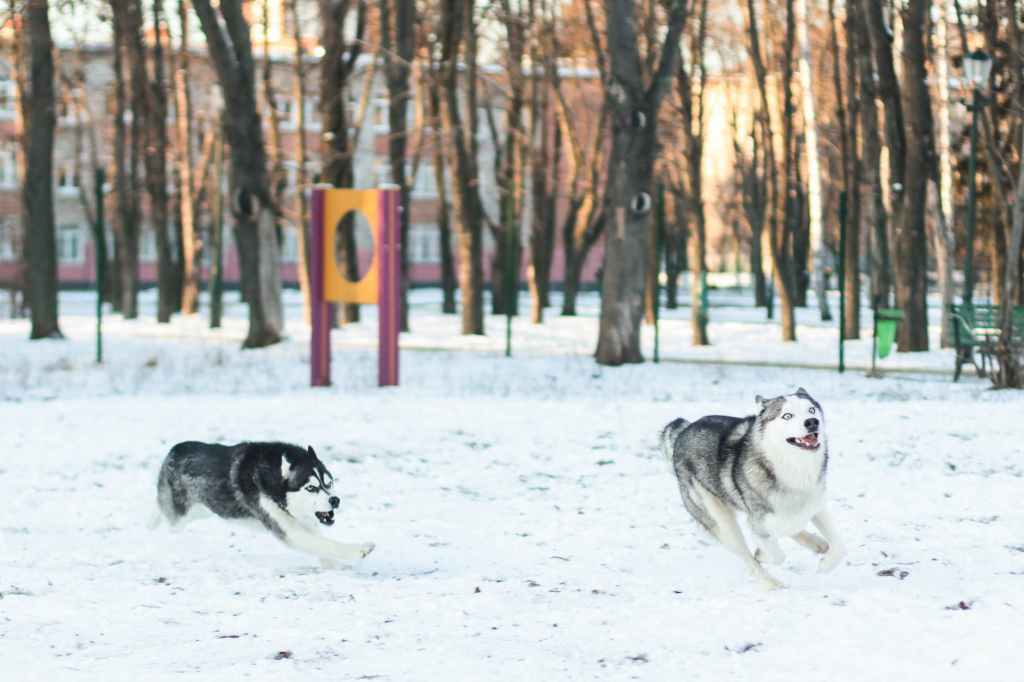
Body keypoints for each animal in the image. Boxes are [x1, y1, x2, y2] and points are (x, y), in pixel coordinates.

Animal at [155, 441, 375, 565]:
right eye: (311, 488)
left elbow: (320, 542)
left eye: (328, 482)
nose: (335, 500)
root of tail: (173, 450)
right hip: (180, 514)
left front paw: (330, 566)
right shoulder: (286, 528)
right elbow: (322, 543)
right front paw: (360, 550)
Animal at [660, 388, 846, 589]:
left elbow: (840, 545)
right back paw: (772, 583)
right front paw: (762, 554)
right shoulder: (758, 520)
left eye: (811, 410)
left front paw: (826, 563)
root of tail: (684, 430)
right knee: (748, 558)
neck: (794, 467)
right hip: (720, 519)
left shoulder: (816, 504)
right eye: (787, 415)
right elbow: (775, 554)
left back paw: (816, 543)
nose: (812, 422)